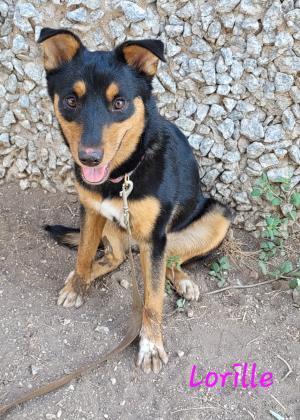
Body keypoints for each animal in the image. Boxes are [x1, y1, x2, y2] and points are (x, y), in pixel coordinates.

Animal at [38, 27, 232, 374]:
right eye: (71, 100)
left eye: (119, 103)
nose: (89, 159)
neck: (122, 175)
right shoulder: (91, 211)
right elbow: (84, 255)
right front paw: (77, 285)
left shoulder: (155, 238)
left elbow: (153, 300)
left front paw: (151, 345)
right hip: (113, 227)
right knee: (114, 258)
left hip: (215, 218)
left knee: (172, 262)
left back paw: (183, 281)